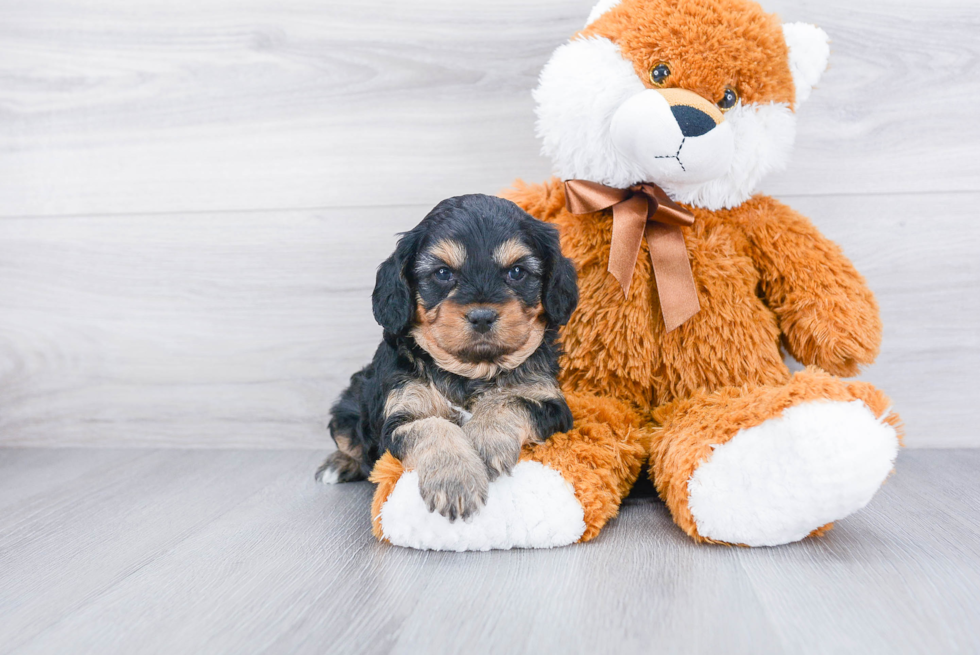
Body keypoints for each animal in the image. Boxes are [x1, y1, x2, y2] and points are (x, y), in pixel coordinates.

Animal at [318, 193, 580, 524]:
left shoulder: (550, 401)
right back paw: (338, 463)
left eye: (517, 272)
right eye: (443, 273)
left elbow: (509, 400)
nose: (482, 316)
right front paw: (455, 481)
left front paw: (483, 439)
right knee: (348, 439)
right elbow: (432, 427)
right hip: (347, 407)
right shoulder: (401, 411)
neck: (470, 371)